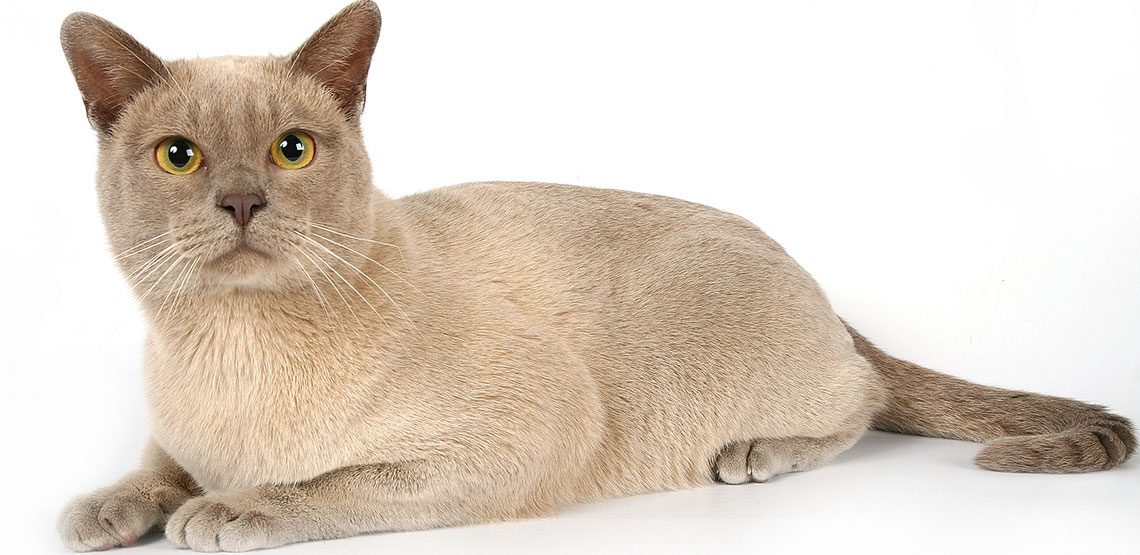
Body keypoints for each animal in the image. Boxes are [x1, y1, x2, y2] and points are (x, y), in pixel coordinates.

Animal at [60, 2, 1130, 553]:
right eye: (180, 158)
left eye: (291, 150)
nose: (242, 201)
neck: (227, 343)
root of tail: (804, 270)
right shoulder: (177, 432)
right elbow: (155, 467)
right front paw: (105, 510)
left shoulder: (525, 426)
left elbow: (327, 484)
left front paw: (225, 511)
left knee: (861, 399)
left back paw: (756, 451)